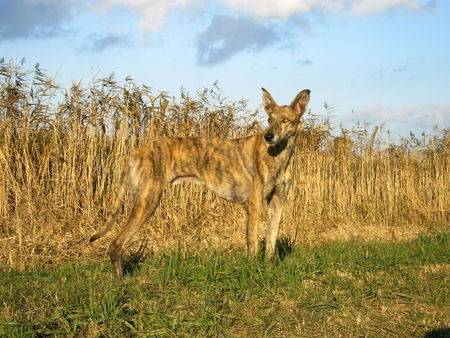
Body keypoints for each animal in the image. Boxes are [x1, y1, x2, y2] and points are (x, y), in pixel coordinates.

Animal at [89, 87, 312, 278]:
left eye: (285, 120)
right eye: (269, 119)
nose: (268, 136)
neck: (278, 155)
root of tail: (136, 151)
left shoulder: (277, 202)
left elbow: (271, 239)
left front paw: (268, 267)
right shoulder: (254, 205)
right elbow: (253, 242)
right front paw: (252, 270)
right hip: (147, 201)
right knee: (116, 243)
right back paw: (121, 279)